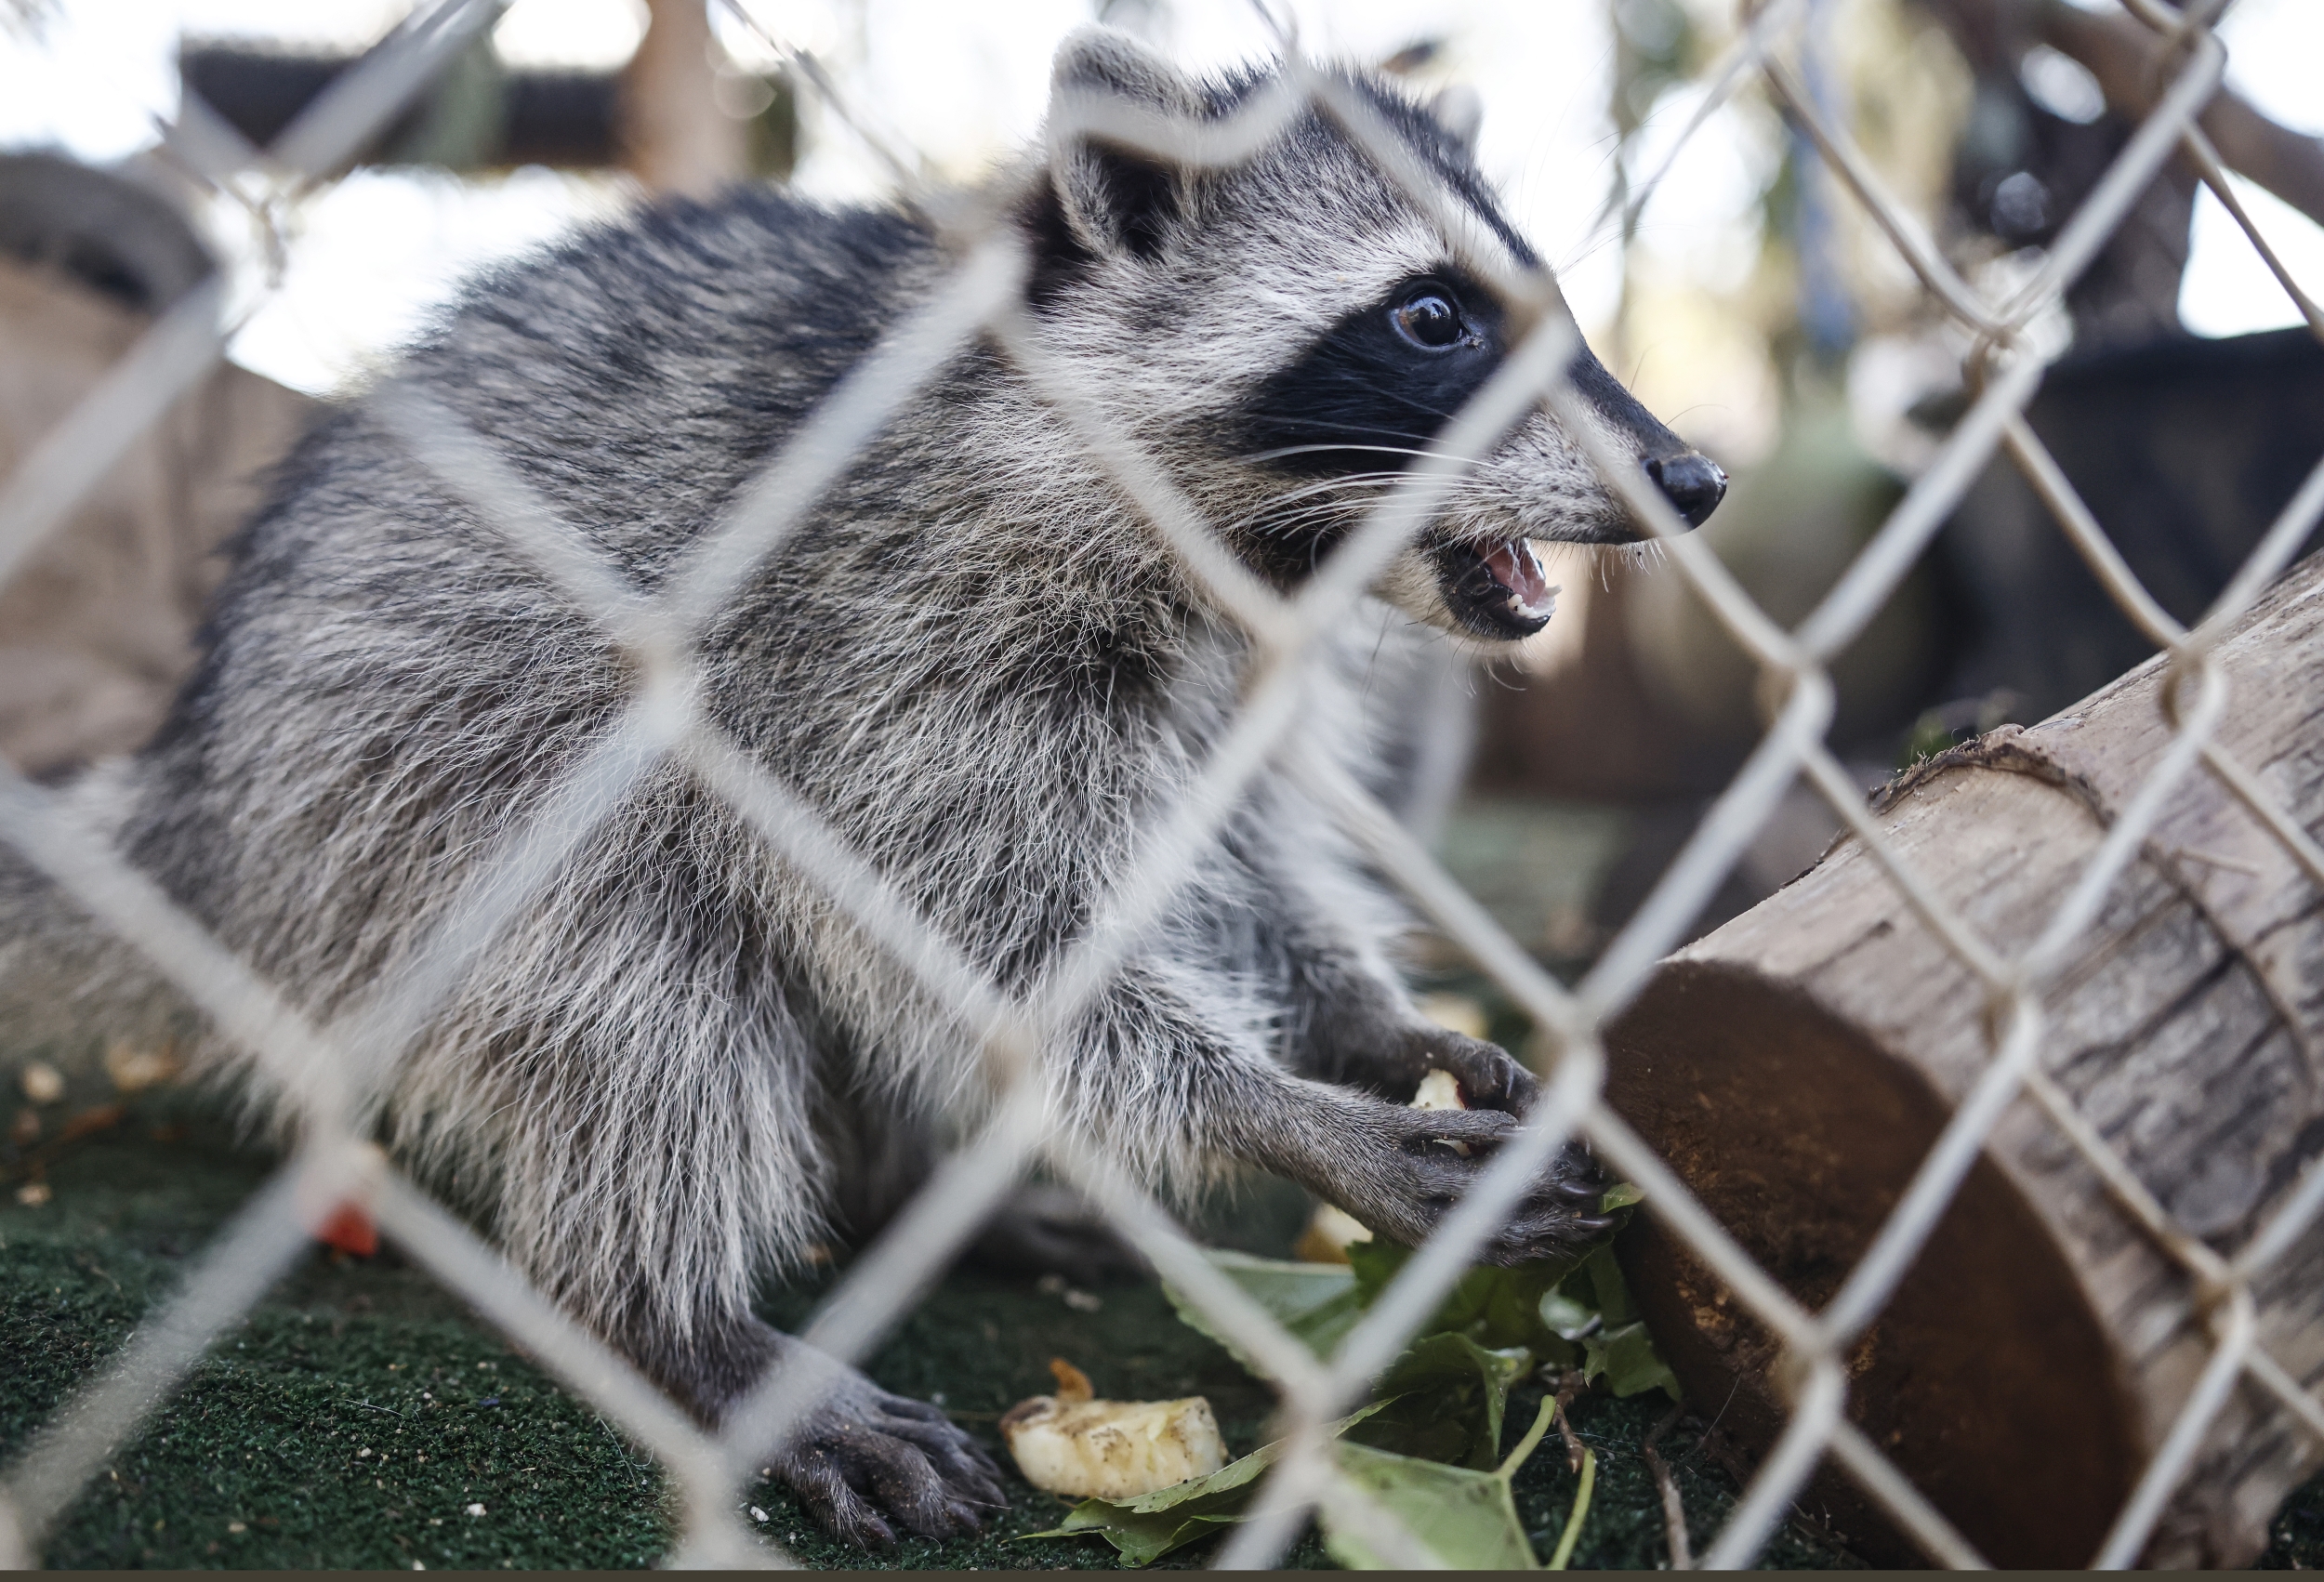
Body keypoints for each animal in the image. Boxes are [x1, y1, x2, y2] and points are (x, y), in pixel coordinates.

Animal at [0, 28, 1724, 1546]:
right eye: (1432, 319)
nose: (1696, 476)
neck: (1227, 554)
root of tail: (202, 790)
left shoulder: (1221, 692)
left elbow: (1231, 866)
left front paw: (1363, 1017)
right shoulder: (863, 628)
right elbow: (963, 927)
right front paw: (1275, 1107)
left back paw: (912, 1194)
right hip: (399, 792)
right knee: (637, 983)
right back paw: (670, 1313)